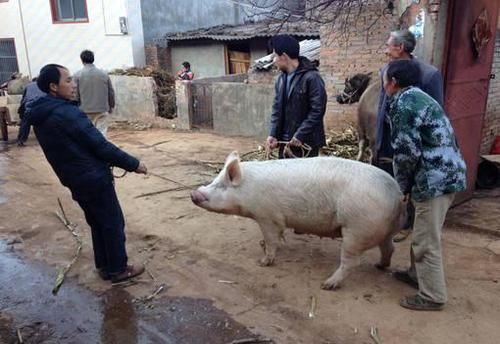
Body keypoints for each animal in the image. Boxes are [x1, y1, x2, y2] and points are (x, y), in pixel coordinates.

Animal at [191, 152, 406, 288]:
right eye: (214, 181)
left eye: (220, 185)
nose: (194, 193)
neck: (247, 189)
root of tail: (396, 194)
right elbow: (276, 237)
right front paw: (264, 245)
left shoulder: (267, 216)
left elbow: (271, 239)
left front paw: (263, 262)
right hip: (385, 229)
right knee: (389, 248)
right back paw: (380, 266)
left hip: (356, 230)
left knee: (351, 262)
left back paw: (327, 284)